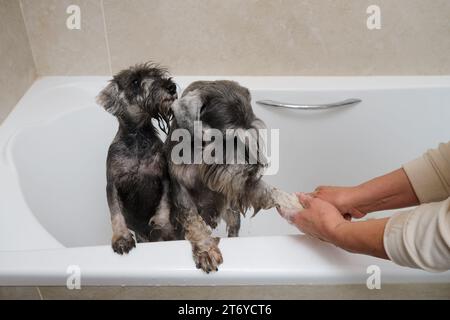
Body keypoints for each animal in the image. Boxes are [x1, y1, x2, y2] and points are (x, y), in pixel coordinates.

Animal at [97, 62, 178, 252]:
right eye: (135, 81)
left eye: (157, 75)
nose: (171, 87)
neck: (138, 138)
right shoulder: (112, 184)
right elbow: (116, 213)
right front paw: (121, 238)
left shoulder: (163, 178)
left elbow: (164, 204)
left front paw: (161, 224)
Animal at [166, 80, 302, 272]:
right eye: (227, 140)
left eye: (252, 134)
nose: (252, 171)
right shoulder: (181, 191)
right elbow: (194, 222)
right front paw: (206, 250)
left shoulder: (238, 185)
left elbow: (269, 190)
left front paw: (296, 203)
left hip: (231, 211)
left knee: (233, 228)